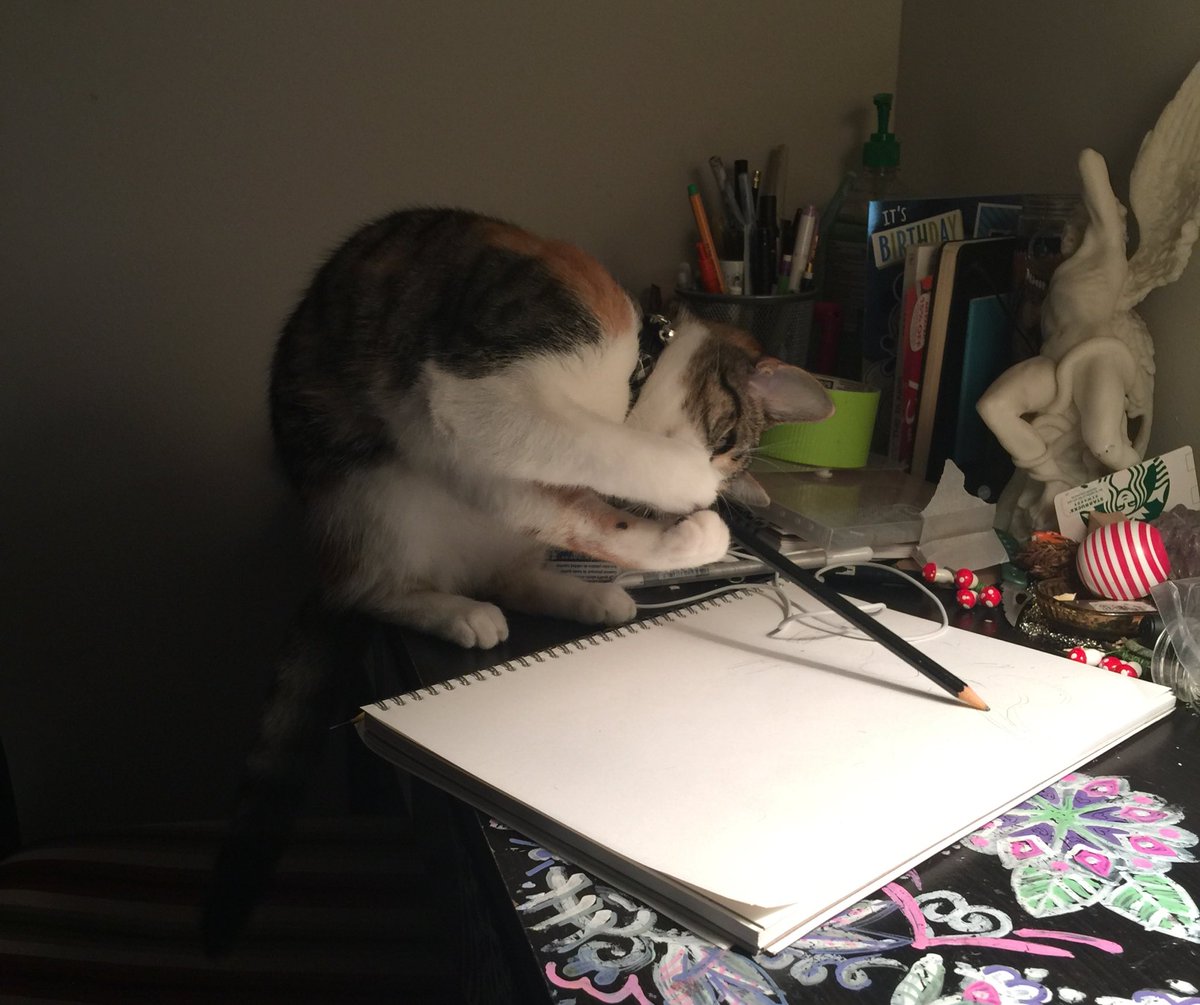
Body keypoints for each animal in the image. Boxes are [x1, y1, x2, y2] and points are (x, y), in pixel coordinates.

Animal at [202, 206, 833, 955]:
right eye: (726, 442)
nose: (715, 490)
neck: (633, 368)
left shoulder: (498, 469)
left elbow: (588, 510)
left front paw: (686, 535)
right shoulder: (473, 401)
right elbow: (616, 451)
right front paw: (692, 495)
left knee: (511, 565)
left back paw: (586, 595)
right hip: (375, 488)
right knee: (375, 588)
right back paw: (454, 610)